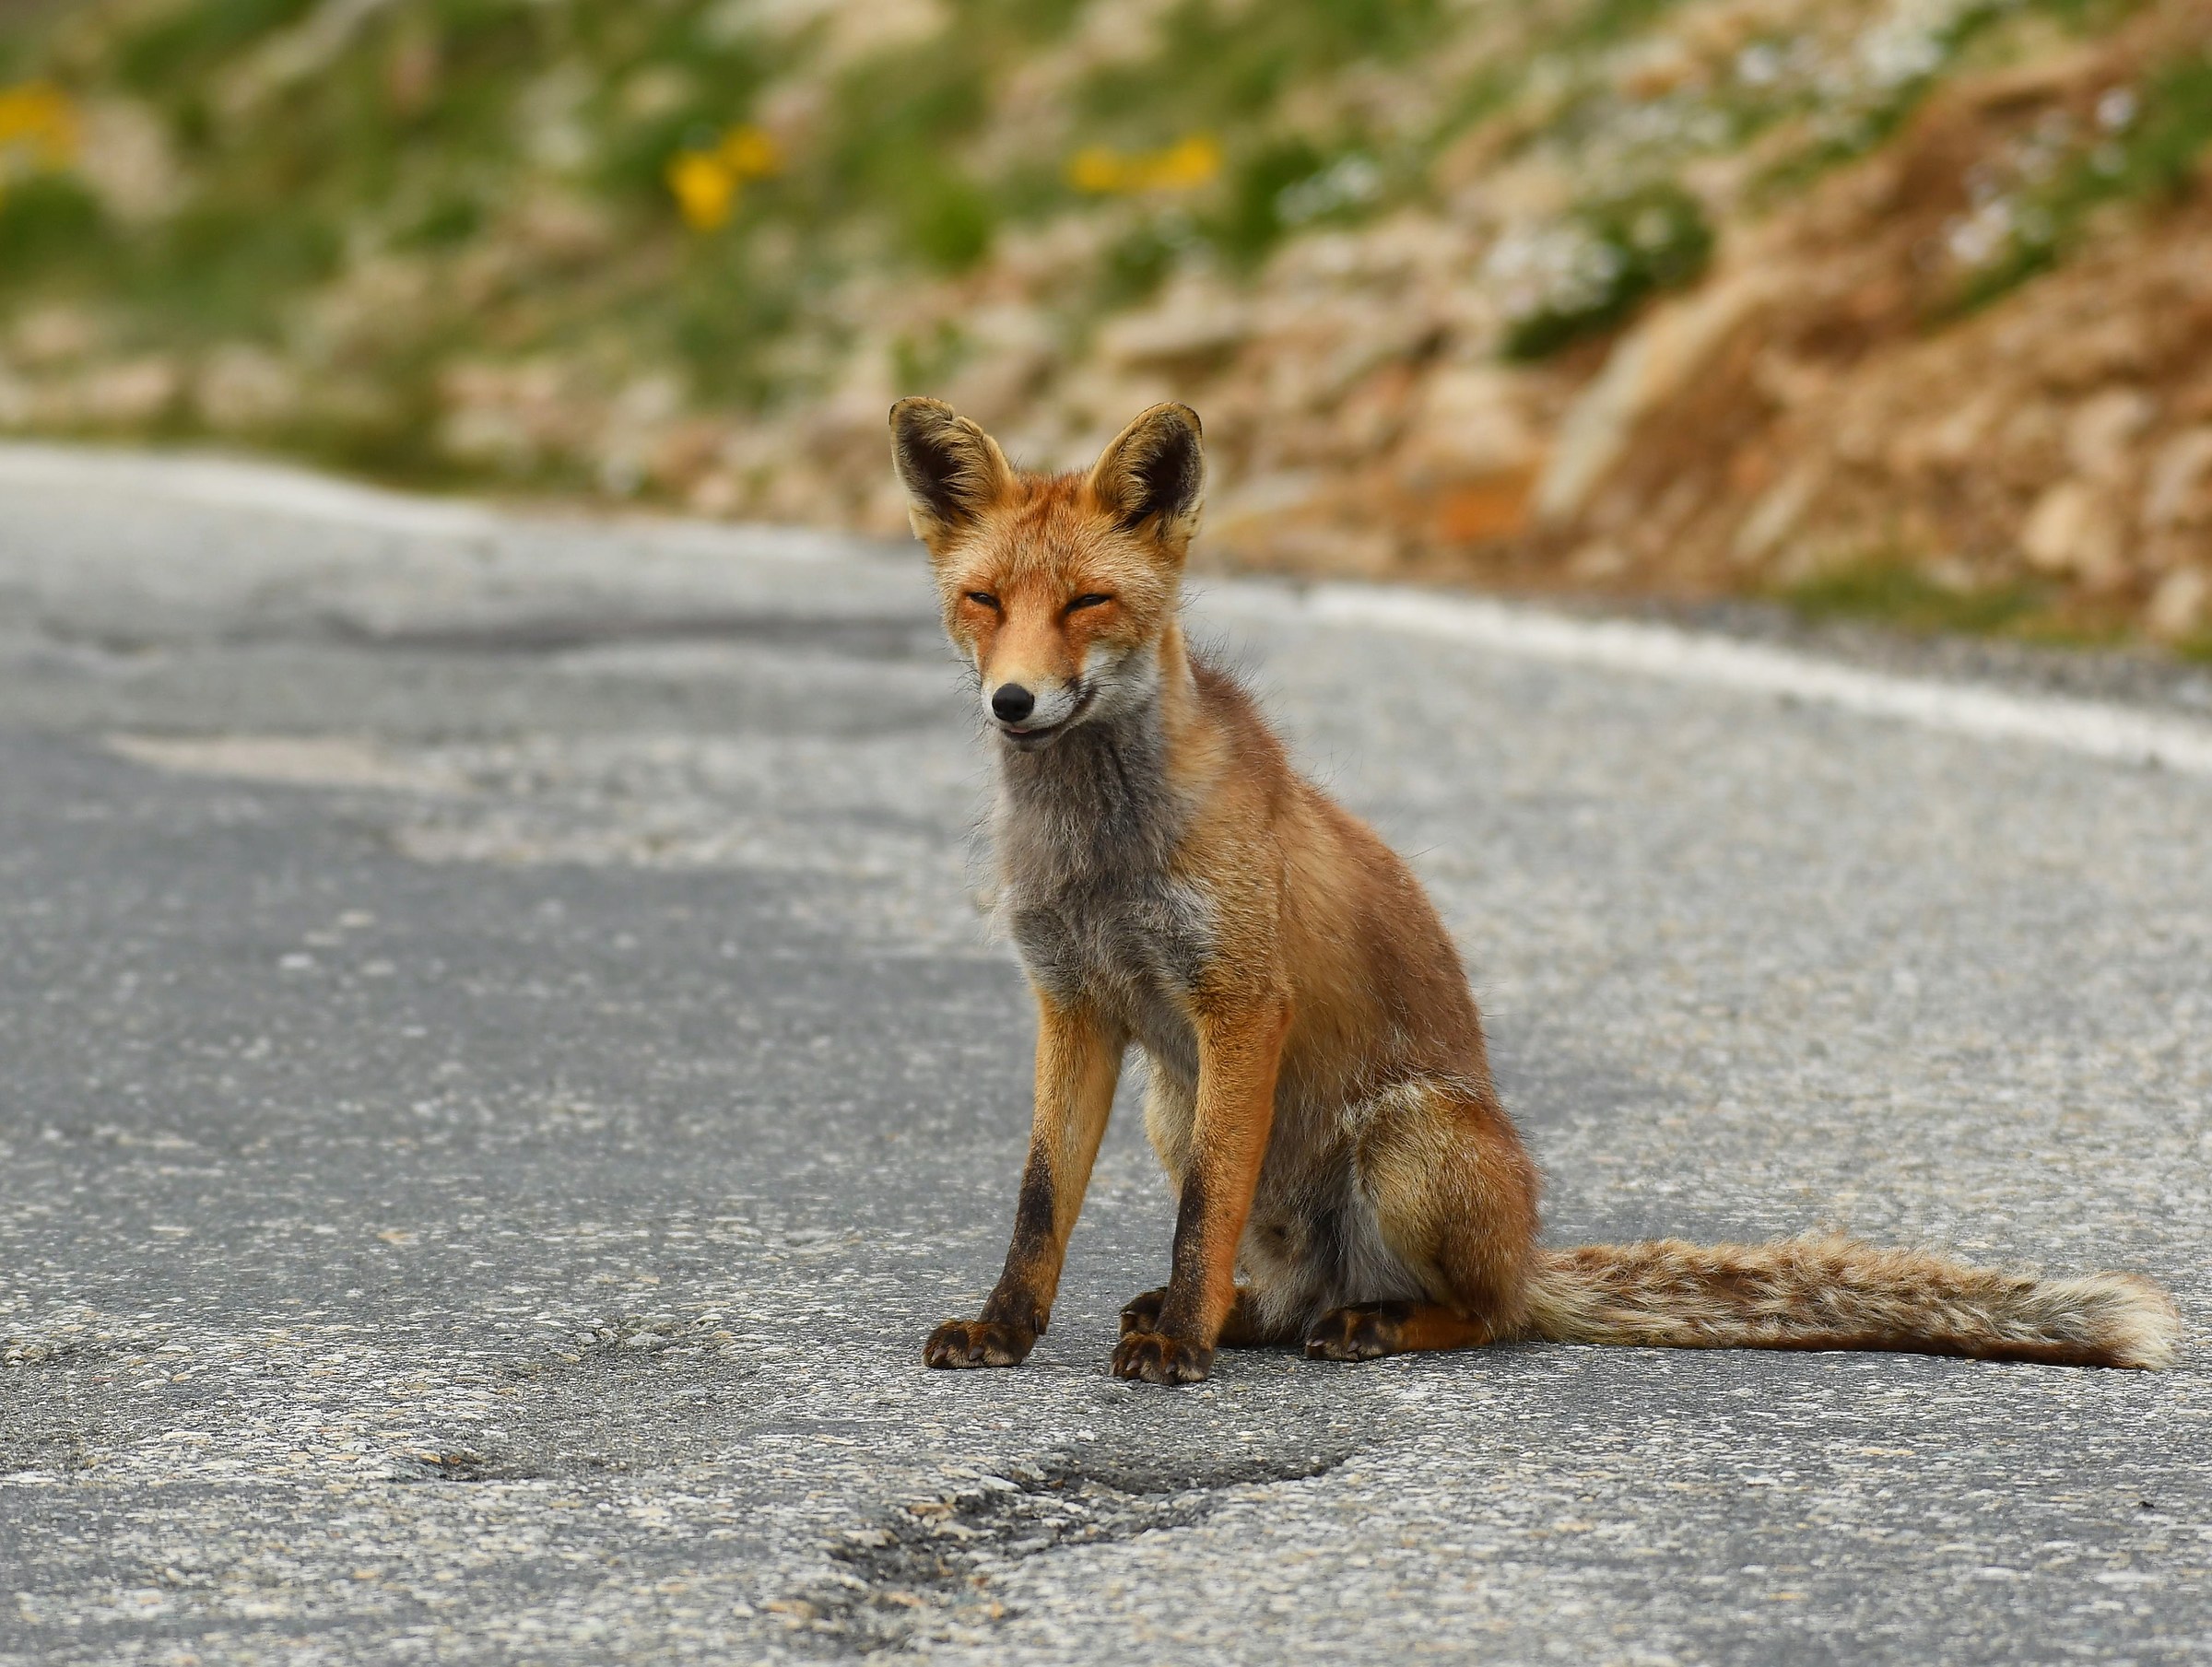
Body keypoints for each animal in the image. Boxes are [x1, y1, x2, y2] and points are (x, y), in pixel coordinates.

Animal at [889, 395, 2182, 1386]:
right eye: (985, 602)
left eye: (1088, 604)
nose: (1014, 702)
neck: (1100, 855)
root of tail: (1526, 1251)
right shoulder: (1074, 1003)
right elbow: (1040, 1201)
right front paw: (1008, 1330)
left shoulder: (1240, 1003)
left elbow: (1201, 1210)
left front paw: (1178, 1355)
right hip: (1178, 1105)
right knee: (1286, 1291)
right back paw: (1239, 1313)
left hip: (1406, 1144)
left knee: (1480, 1317)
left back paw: (1358, 1323)